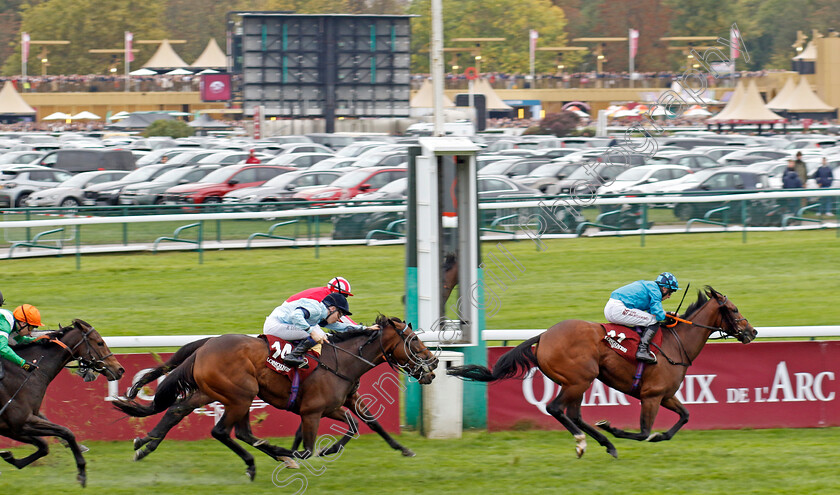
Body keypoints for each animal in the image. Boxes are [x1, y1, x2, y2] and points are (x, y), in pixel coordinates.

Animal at [0, 320, 124, 486]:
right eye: (100, 342)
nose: (120, 369)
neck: (25, 373)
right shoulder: (22, 421)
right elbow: (67, 432)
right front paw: (82, 470)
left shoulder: (13, 428)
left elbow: (44, 446)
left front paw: (10, 457)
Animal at [113, 316, 440, 482]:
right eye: (413, 340)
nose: (434, 362)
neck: (343, 360)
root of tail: (206, 345)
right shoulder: (313, 411)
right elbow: (312, 446)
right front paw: (313, 451)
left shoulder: (341, 402)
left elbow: (366, 422)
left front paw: (404, 449)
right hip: (240, 395)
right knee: (223, 431)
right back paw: (268, 460)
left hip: (214, 392)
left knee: (179, 411)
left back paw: (145, 444)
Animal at [450, 288, 756, 460]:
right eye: (734, 309)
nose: (752, 331)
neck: (676, 342)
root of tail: (544, 336)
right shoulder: (651, 396)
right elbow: (643, 432)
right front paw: (614, 428)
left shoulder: (666, 395)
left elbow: (684, 417)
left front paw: (656, 436)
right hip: (579, 379)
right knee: (556, 408)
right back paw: (584, 442)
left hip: (577, 382)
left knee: (572, 414)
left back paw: (605, 444)